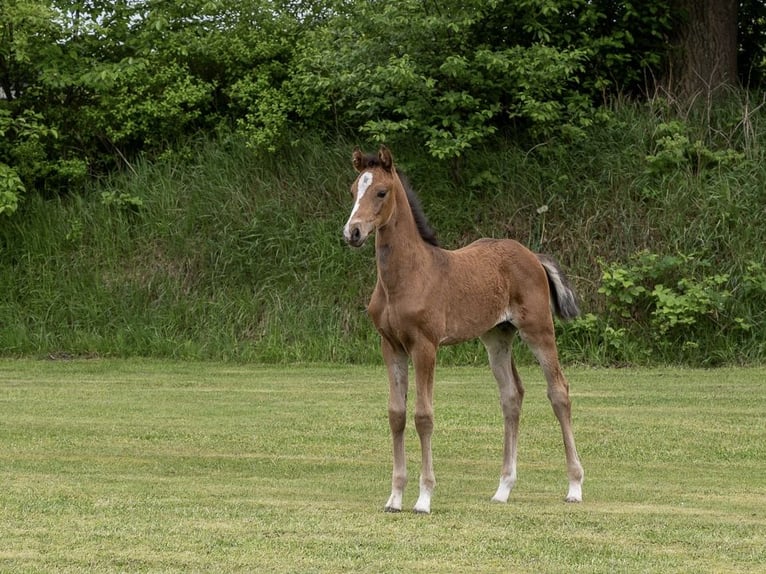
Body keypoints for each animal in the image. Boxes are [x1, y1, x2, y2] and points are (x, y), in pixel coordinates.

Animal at [342, 145, 584, 514]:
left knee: (558, 391)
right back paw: (503, 489)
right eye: (354, 190)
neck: (407, 275)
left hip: (538, 330)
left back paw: (574, 486)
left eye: (381, 192)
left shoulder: (425, 346)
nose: (352, 232)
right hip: (497, 337)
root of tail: (532, 255)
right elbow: (396, 414)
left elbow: (423, 416)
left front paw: (424, 498)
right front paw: (394, 497)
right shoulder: (391, 346)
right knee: (511, 395)